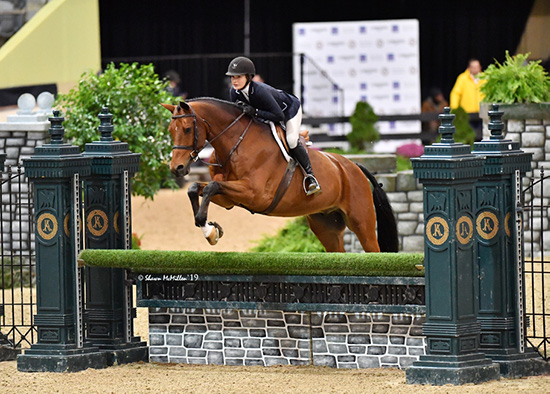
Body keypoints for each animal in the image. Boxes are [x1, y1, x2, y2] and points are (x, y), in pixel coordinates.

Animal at [162, 98, 398, 252]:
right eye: (170, 130)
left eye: (186, 129)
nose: (177, 168)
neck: (235, 143)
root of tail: (353, 166)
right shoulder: (229, 198)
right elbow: (197, 188)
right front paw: (210, 231)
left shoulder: (255, 194)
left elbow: (210, 187)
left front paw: (210, 230)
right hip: (326, 226)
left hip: (361, 222)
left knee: (373, 247)